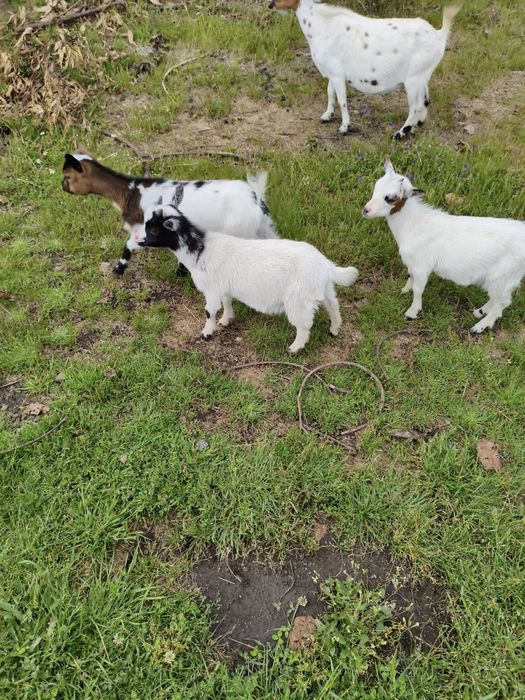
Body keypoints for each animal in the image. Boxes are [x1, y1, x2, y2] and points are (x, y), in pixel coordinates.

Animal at [62, 148, 278, 277]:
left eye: (67, 176)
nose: (62, 187)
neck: (131, 192)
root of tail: (255, 198)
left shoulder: (143, 232)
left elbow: (128, 246)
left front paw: (118, 269)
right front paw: (182, 271)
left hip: (242, 231)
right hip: (265, 228)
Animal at [140, 189, 359, 352]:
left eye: (153, 229)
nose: (139, 241)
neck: (200, 250)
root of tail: (325, 265)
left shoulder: (212, 289)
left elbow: (209, 311)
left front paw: (207, 333)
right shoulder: (223, 287)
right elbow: (227, 303)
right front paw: (225, 321)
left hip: (298, 298)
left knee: (304, 324)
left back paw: (295, 347)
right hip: (323, 288)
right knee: (333, 306)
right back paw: (334, 330)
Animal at [270, 0, 461, 139]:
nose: (270, 4)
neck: (321, 25)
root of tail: (439, 35)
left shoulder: (337, 74)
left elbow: (342, 100)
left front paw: (344, 127)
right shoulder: (332, 72)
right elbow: (330, 93)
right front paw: (326, 116)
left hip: (414, 79)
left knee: (416, 106)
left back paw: (400, 133)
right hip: (422, 76)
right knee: (426, 101)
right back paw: (415, 127)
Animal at [363, 158, 525, 333]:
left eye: (391, 198)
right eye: (376, 187)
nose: (365, 210)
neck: (412, 223)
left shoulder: (422, 265)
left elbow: (418, 289)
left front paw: (412, 312)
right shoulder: (413, 264)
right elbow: (410, 277)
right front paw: (404, 290)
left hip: (503, 275)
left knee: (502, 303)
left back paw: (480, 326)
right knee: (497, 299)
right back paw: (480, 312)